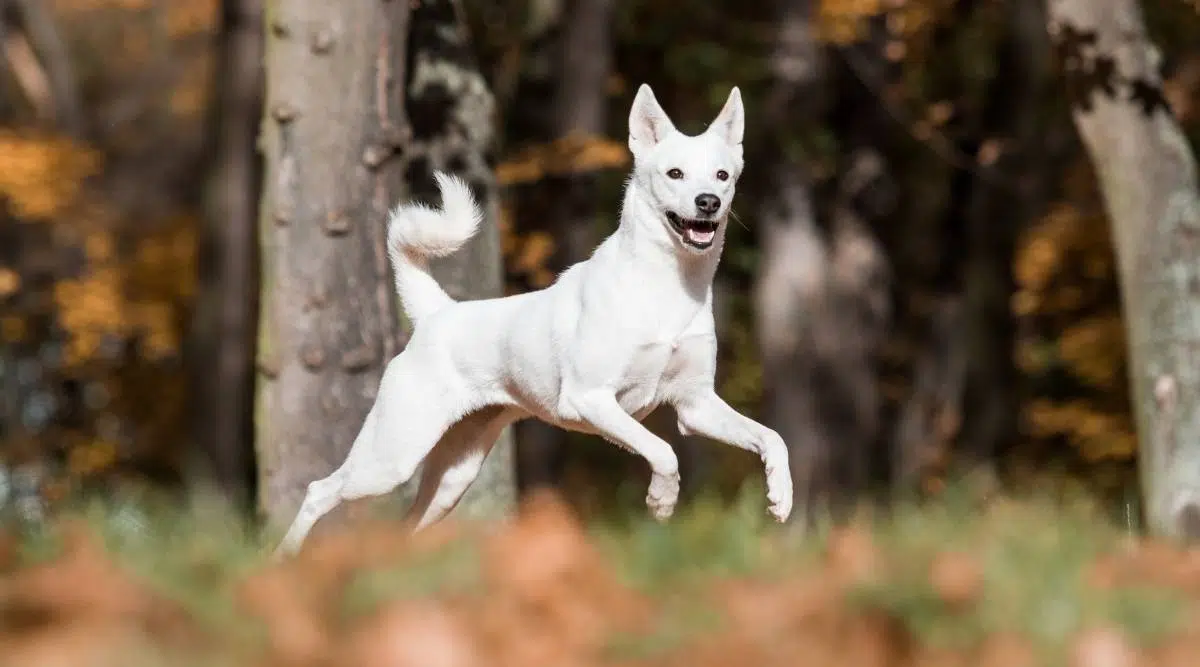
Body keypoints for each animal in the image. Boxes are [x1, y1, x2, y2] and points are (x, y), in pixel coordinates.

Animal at [274, 83, 792, 554]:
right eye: (675, 173)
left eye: (722, 175)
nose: (708, 202)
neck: (667, 289)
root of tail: (437, 313)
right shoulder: (591, 399)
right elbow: (662, 451)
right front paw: (662, 501)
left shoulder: (695, 405)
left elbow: (772, 438)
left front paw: (780, 496)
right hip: (391, 456)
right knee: (320, 491)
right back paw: (284, 559)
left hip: (453, 476)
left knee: (406, 525)